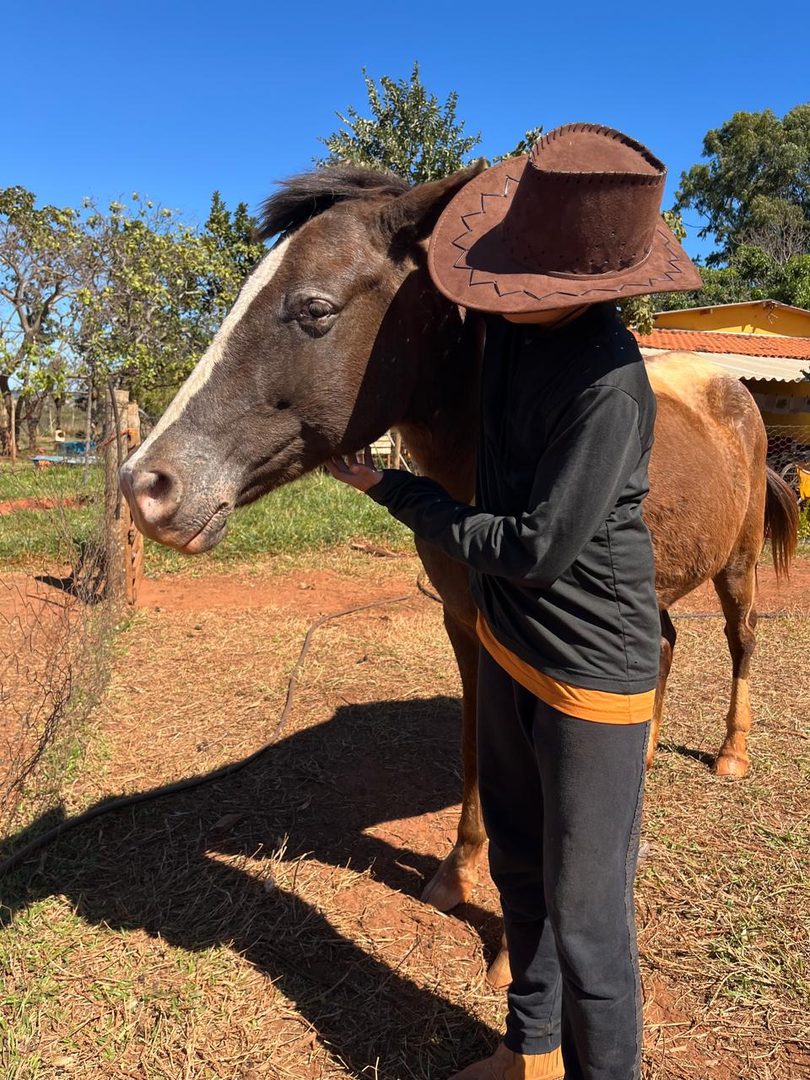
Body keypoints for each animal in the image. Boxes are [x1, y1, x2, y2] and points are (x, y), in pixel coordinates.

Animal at [120, 163, 799, 932]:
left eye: (315, 310)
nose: (146, 485)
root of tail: (735, 389)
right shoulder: (466, 628)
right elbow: (478, 743)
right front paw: (459, 868)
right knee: (662, 646)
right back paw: (646, 752)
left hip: (736, 568)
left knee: (741, 642)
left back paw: (731, 754)